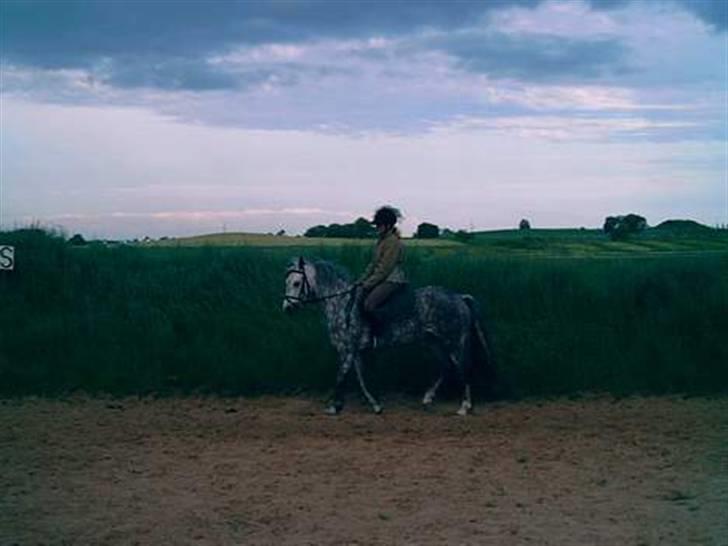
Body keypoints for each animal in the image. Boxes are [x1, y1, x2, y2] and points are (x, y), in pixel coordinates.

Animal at [282, 258, 494, 414]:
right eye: (287, 282)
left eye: (296, 283)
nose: (287, 309)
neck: (341, 303)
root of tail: (459, 297)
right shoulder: (355, 351)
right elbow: (361, 378)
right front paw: (375, 405)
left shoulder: (347, 350)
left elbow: (341, 376)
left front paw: (334, 407)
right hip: (433, 342)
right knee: (446, 367)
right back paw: (427, 399)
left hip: (454, 342)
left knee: (463, 368)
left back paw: (464, 407)